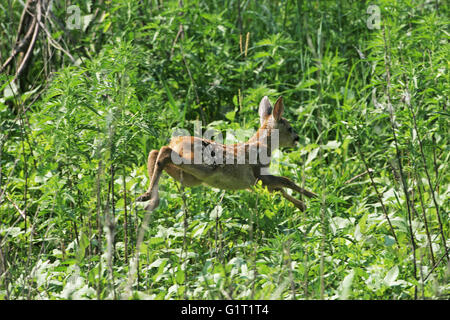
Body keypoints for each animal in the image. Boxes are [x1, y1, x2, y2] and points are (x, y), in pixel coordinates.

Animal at [137, 96, 316, 214]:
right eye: (290, 128)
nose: (297, 138)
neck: (263, 146)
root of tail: (177, 141)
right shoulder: (258, 174)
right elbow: (285, 181)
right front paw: (313, 198)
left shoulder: (254, 183)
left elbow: (279, 188)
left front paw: (303, 205)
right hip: (204, 167)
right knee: (164, 152)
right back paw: (147, 197)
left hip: (188, 177)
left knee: (155, 152)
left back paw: (149, 200)